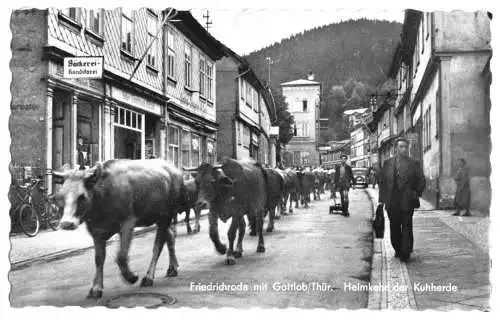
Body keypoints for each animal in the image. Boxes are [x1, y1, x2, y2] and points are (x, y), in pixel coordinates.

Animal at [53, 160, 186, 300]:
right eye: (61, 196)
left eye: (81, 196)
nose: (66, 223)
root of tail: (172, 168)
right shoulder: (97, 231)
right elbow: (99, 259)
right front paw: (96, 288)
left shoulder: (128, 223)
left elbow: (121, 256)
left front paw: (131, 277)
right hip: (160, 218)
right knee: (170, 236)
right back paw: (172, 268)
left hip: (166, 216)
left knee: (158, 246)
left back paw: (149, 277)